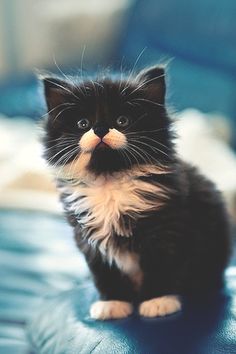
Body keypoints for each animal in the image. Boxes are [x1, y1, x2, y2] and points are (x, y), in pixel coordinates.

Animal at [40, 66, 230, 320]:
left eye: (123, 121)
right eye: (83, 123)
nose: (100, 128)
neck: (110, 180)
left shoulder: (166, 229)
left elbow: (161, 266)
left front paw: (158, 301)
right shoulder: (87, 238)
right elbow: (104, 272)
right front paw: (113, 303)